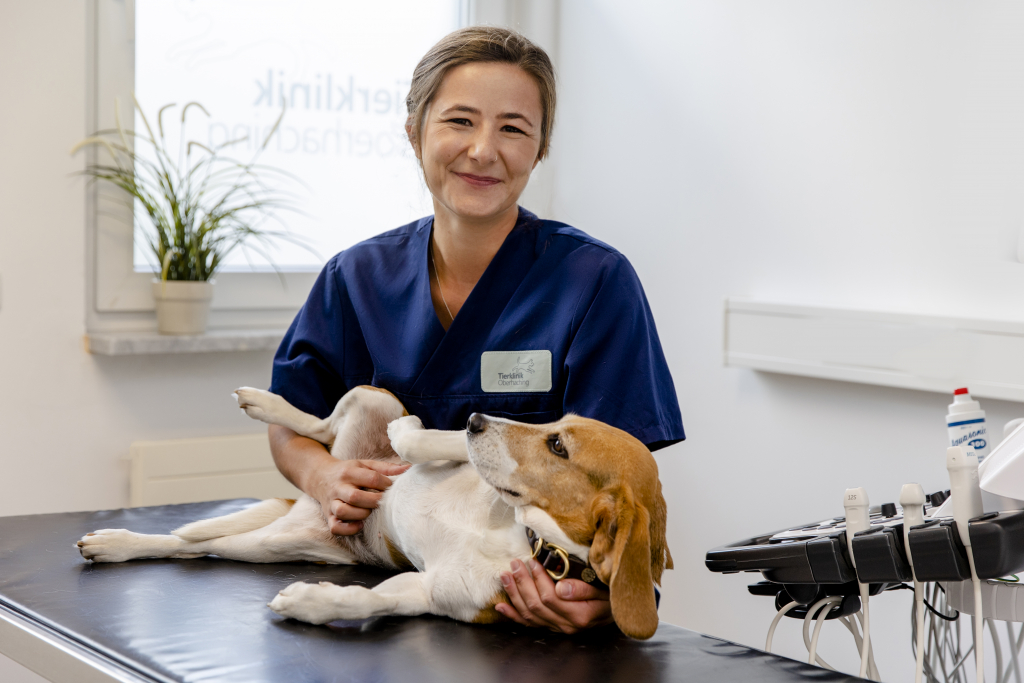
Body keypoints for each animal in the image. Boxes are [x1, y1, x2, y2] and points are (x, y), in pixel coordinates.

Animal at [77, 389, 671, 643]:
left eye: (558, 446)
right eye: (556, 425)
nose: (478, 418)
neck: (520, 536)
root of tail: (312, 502)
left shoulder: (432, 593)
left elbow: (367, 600)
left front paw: (310, 602)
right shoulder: (456, 450)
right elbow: (430, 438)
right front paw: (415, 432)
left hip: (267, 545)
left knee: (194, 546)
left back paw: (119, 542)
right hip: (370, 398)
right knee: (318, 422)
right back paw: (267, 402)